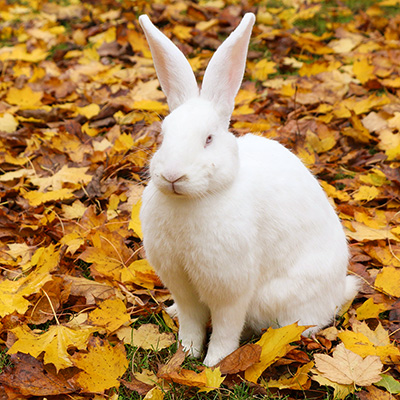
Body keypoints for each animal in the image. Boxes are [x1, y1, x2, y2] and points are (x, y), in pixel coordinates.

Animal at [138, 12, 360, 368]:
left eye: (208, 139)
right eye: (163, 135)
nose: (172, 175)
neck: (195, 199)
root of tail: (339, 289)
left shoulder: (230, 287)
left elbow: (226, 326)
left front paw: (213, 363)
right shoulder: (181, 285)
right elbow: (190, 319)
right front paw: (186, 350)